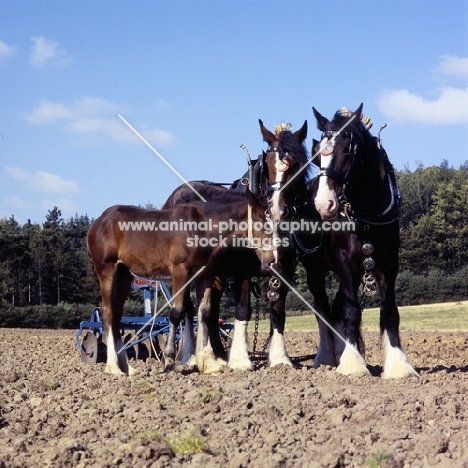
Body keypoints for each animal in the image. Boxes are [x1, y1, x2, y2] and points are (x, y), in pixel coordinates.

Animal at [87, 188, 278, 374]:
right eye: (263, 225)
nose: (271, 261)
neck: (201, 228)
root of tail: (97, 222)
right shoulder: (181, 271)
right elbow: (176, 313)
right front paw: (169, 362)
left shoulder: (205, 275)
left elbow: (205, 313)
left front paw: (209, 364)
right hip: (107, 270)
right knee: (107, 312)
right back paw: (113, 367)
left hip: (125, 275)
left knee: (117, 314)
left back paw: (126, 367)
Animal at [161, 119, 310, 370]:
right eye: (268, 164)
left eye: (297, 164)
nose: (277, 211)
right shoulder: (242, 270)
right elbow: (242, 310)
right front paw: (240, 360)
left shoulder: (284, 269)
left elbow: (278, 312)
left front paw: (280, 359)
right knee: (190, 311)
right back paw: (190, 354)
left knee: (209, 312)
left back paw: (217, 355)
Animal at [300, 104, 420, 378]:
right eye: (317, 156)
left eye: (347, 150)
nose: (323, 205)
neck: (366, 215)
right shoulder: (344, 261)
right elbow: (351, 310)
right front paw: (353, 364)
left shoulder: (388, 262)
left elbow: (389, 310)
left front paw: (398, 364)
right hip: (314, 270)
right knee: (323, 310)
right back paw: (326, 357)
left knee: (336, 308)